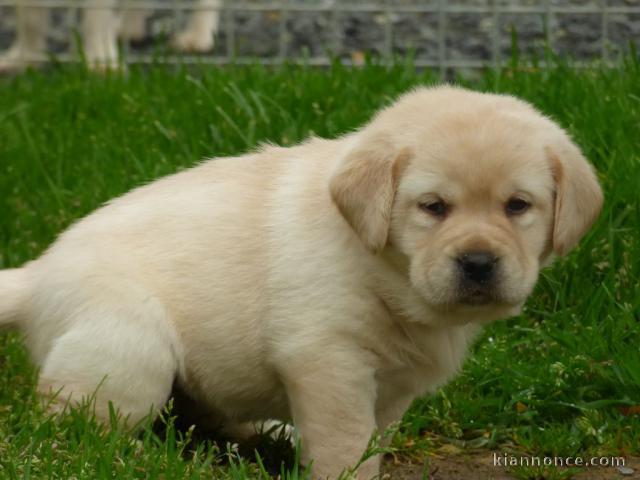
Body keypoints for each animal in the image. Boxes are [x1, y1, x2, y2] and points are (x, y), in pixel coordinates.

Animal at [0, 0, 221, 71]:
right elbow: (30, 18)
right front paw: (24, 58)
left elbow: (95, 17)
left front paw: (100, 63)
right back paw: (128, 27)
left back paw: (198, 36)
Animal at [0, 86, 600, 480]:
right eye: (433, 207)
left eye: (518, 206)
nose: (478, 262)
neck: (384, 270)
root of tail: (36, 274)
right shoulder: (327, 360)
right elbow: (345, 444)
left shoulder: (393, 384)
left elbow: (373, 437)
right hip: (127, 345)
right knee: (76, 427)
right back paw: (136, 460)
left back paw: (268, 434)